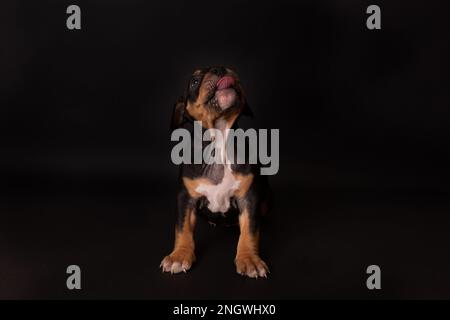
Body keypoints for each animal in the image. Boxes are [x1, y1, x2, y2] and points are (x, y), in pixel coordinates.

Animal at [160, 65, 268, 278]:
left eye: (232, 70)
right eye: (194, 81)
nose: (220, 69)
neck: (219, 141)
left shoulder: (249, 197)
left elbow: (250, 230)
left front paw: (249, 259)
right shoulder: (185, 197)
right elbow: (182, 228)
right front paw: (179, 256)